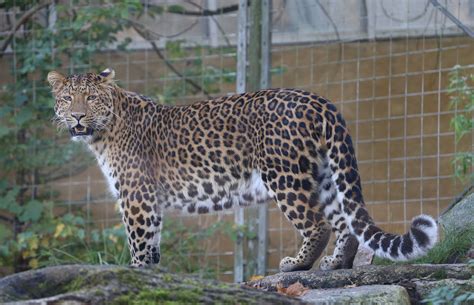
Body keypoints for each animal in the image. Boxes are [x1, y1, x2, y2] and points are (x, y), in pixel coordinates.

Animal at [48, 68, 436, 270]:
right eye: (67, 99)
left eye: (91, 98)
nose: (78, 117)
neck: (103, 133)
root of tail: (321, 101)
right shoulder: (149, 201)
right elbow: (153, 242)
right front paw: (153, 274)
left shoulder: (137, 198)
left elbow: (139, 243)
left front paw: (138, 273)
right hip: (326, 174)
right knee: (344, 222)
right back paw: (335, 265)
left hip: (285, 175)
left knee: (318, 224)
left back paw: (297, 264)